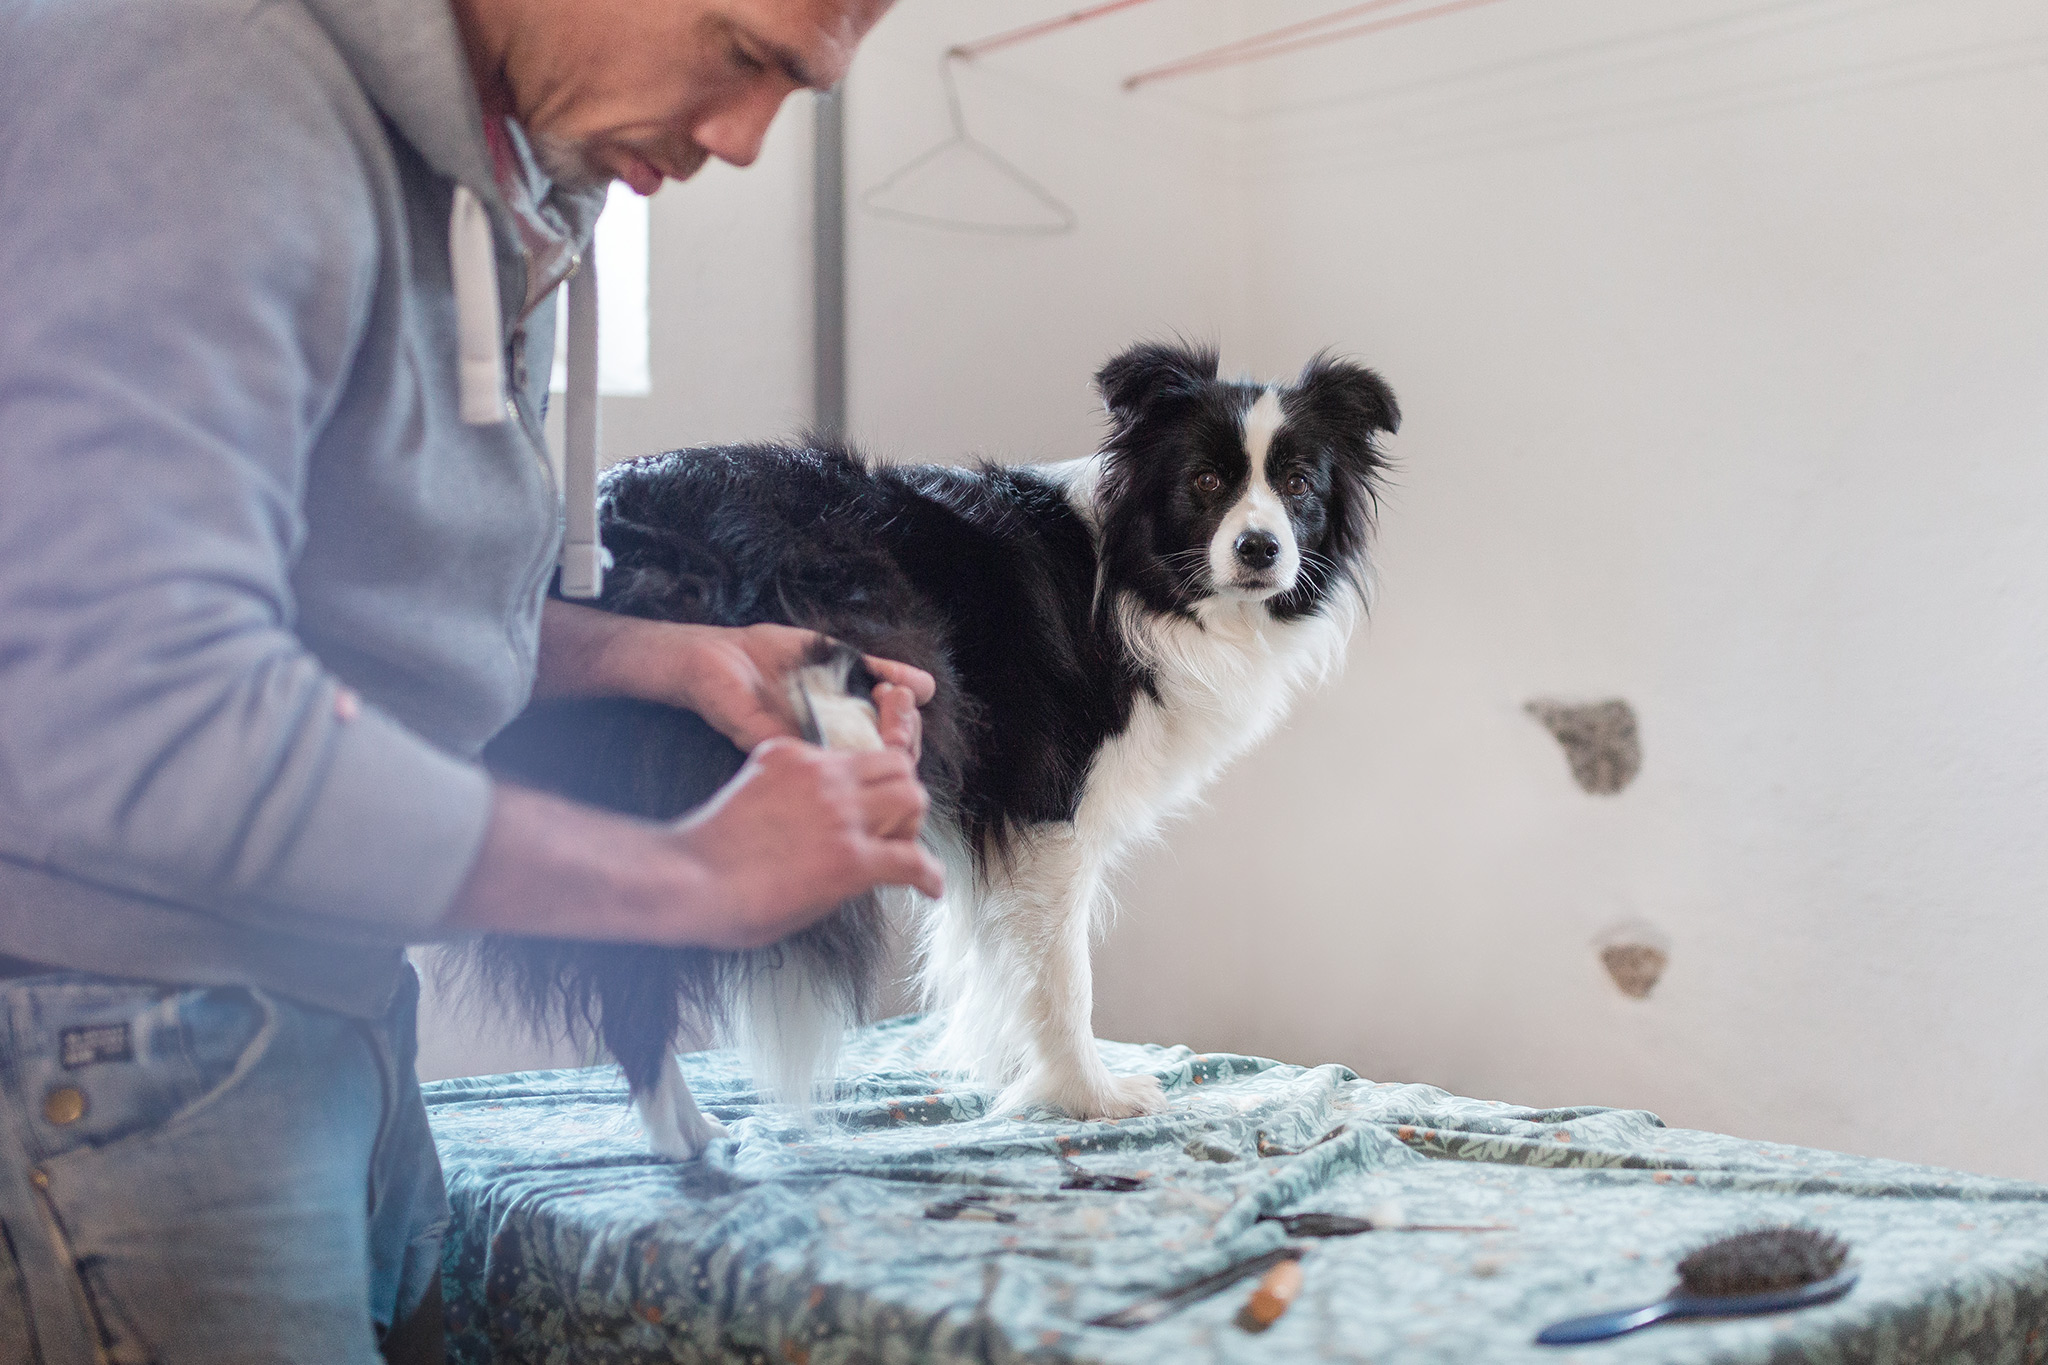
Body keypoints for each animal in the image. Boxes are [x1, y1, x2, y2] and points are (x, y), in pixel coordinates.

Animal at [479, 339, 1392, 1154]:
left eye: (1299, 485)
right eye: (1204, 482)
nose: (1260, 548)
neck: (1142, 583)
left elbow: (991, 961)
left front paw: (1009, 1076)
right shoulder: (1048, 811)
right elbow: (1063, 974)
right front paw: (1086, 1094)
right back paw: (688, 1139)